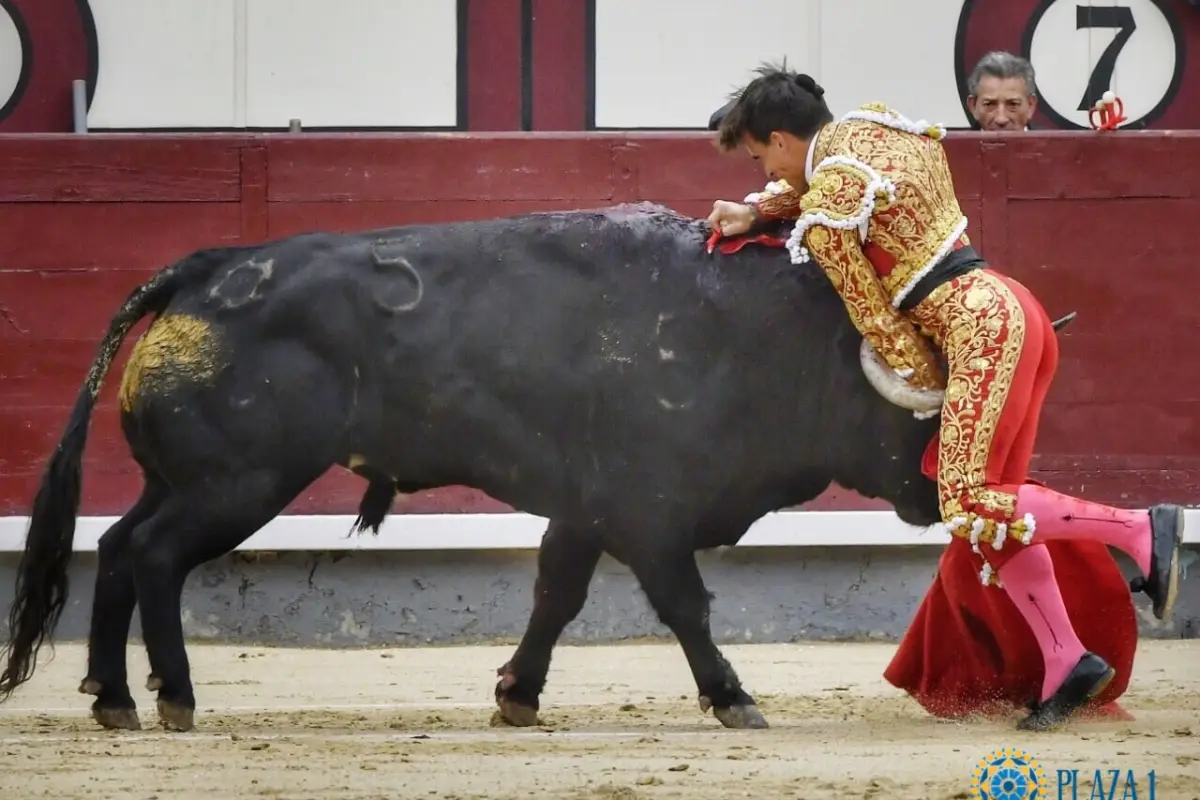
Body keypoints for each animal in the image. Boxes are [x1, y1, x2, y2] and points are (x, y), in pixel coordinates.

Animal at [0, 201, 1080, 734]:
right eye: (917, 411)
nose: (941, 496)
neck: (757, 334)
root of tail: (205, 267)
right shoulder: (647, 509)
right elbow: (686, 606)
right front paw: (734, 697)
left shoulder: (588, 509)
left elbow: (555, 594)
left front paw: (517, 694)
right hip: (237, 485)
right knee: (156, 558)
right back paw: (171, 698)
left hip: (185, 480)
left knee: (122, 548)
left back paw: (113, 697)